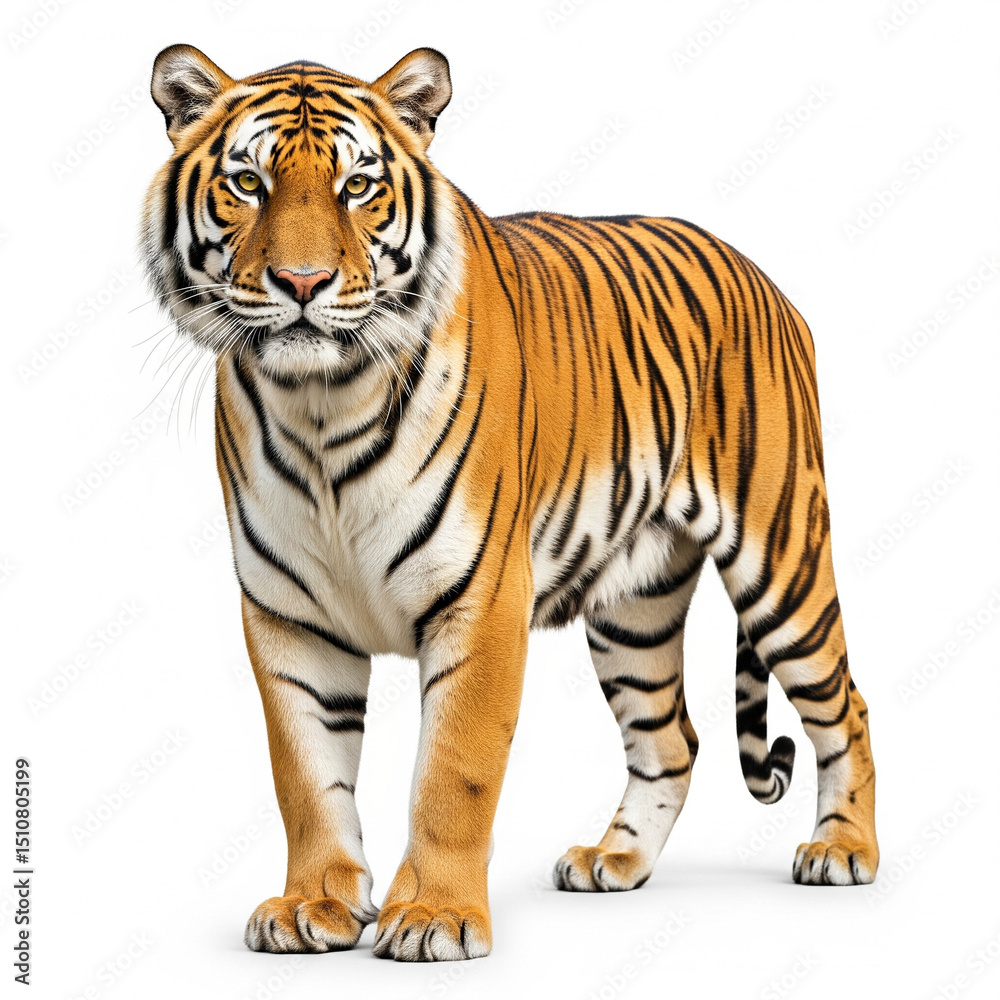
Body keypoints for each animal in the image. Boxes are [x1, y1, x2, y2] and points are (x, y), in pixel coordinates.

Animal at [141, 44, 879, 962]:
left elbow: (454, 772)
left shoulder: (482, 599)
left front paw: (434, 916)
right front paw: (314, 905)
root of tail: (764, 277)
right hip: (634, 609)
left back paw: (843, 851)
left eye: (357, 186)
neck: (320, 405)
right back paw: (614, 861)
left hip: (783, 561)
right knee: (671, 738)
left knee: (846, 705)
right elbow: (305, 772)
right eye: (247, 183)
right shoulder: (287, 615)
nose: (303, 281)